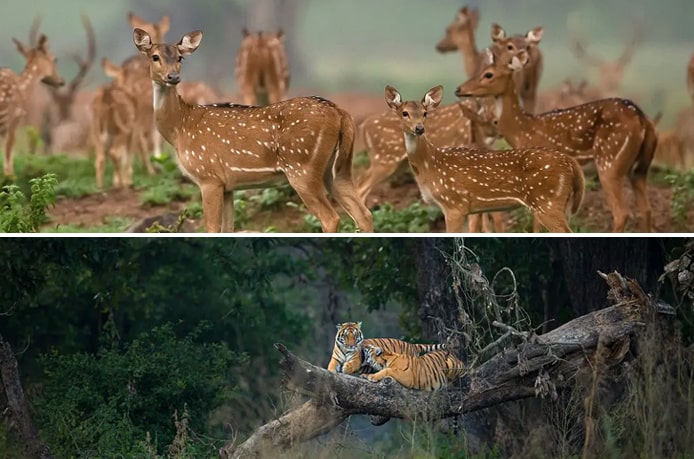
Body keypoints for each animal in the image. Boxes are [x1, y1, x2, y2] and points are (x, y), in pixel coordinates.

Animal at [0, 33, 64, 178]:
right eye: (55, 59)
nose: (61, 81)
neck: (23, 89)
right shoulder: (14, 119)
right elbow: (8, 162)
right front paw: (11, 179)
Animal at [130, 27, 370, 234]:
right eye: (155, 57)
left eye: (180, 57)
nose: (173, 77)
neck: (180, 127)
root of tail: (340, 113)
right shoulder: (227, 185)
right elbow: (227, 229)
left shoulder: (208, 177)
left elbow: (211, 228)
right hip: (337, 168)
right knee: (363, 213)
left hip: (302, 167)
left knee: (331, 217)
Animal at [388, 84, 584, 234]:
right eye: (404, 113)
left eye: (425, 113)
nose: (419, 128)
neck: (429, 166)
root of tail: (570, 162)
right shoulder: (465, 209)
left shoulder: (454, 203)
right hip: (561, 202)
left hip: (548, 201)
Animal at [456, 46, 656, 232]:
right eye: (480, 70)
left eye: (488, 74)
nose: (459, 89)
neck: (521, 130)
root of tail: (643, 120)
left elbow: (536, 223)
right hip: (638, 169)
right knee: (646, 209)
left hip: (610, 161)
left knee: (622, 212)